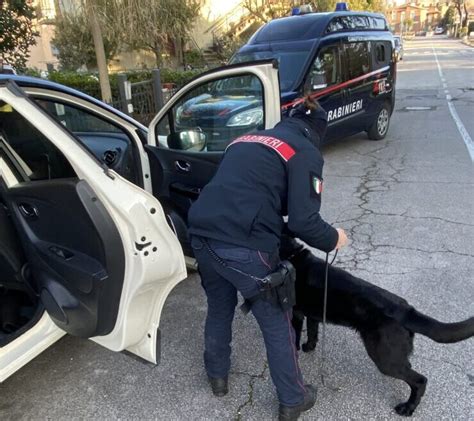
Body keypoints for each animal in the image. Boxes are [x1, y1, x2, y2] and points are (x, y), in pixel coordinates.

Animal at [282, 236, 474, 416]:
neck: (291, 253)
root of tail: (406, 311)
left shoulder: (295, 314)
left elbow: (295, 338)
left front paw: (298, 352)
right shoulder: (311, 314)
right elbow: (312, 332)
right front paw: (309, 347)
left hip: (384, 358)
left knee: (420, 380)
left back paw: (407, 407)